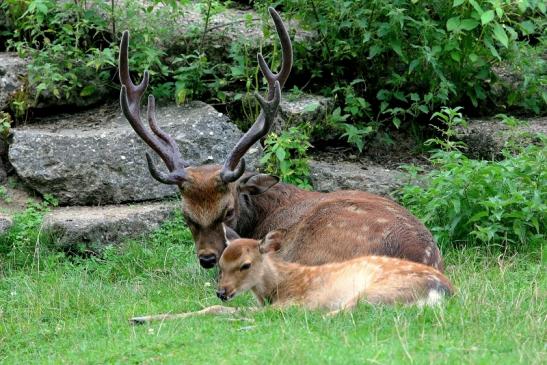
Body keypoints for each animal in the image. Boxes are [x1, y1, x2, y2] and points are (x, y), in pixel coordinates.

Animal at [216, 230, 456, 312]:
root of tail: (444, 291)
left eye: (245, 265)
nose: (221, 292)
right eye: (220, 263)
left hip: (380, 291)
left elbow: (240, 311)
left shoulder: (294, 301)